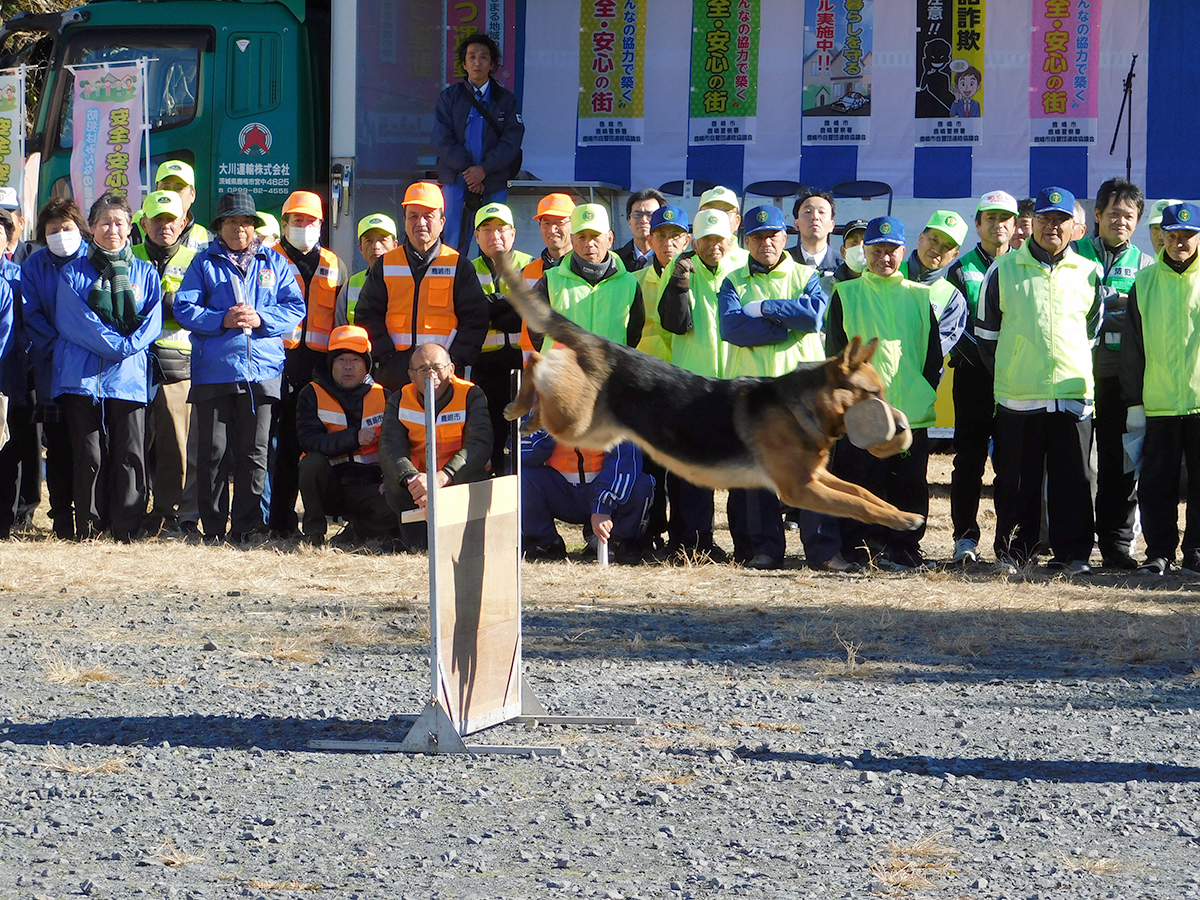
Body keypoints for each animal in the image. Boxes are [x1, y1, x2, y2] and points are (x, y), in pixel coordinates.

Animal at [492, 260, 921, 532]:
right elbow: (857, 504)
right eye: (874, 393)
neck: (804, 407)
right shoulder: (801, 488)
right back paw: (519, 405)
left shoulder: (817, 477)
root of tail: (604, 346)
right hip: (576, 422)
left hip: (593, 432)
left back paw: (528, 415)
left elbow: (862, 492)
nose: (903, 428)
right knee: (535, 361)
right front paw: (901, 519)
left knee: (544, 368)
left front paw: (902, 514)